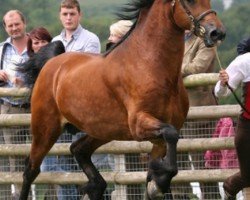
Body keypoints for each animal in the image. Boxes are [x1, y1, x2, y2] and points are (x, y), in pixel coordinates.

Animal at [20, 0, 226, 200]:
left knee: (78, 149)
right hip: (46, 128)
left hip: (102, 130)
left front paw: (157, 182)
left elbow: (155, 169)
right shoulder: (139, 125)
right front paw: (159, 181)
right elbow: (171, 135)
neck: (149, 65)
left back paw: (94, 186)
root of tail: (52, 64)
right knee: (30, 170)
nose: (217, 32)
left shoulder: (158, 138)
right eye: (190, 1)